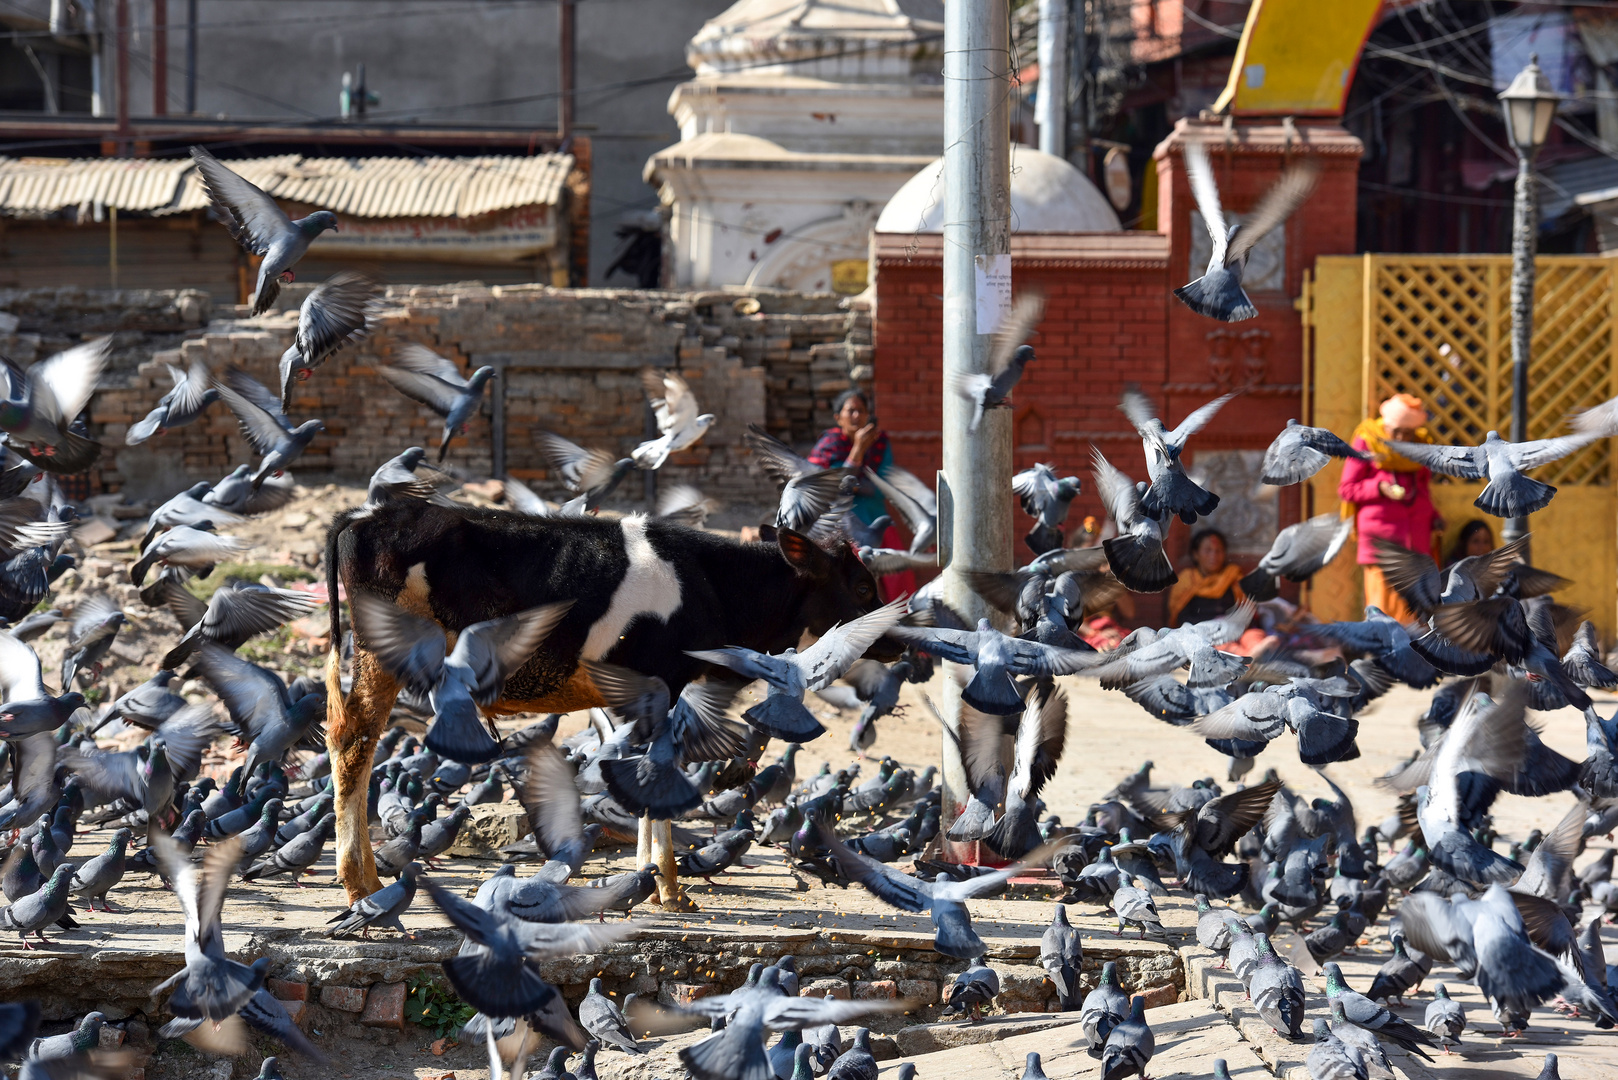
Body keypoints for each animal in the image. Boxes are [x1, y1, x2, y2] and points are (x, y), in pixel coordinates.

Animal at [320, 501, 893, 906]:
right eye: (863, 586)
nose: (897, 639)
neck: (710, 583)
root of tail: (368, 515)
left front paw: (652, 879)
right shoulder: (658, 681)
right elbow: (655, 775)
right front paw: (666, 888)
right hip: (384, 654)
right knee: (354, 740)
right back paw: (360, 883)